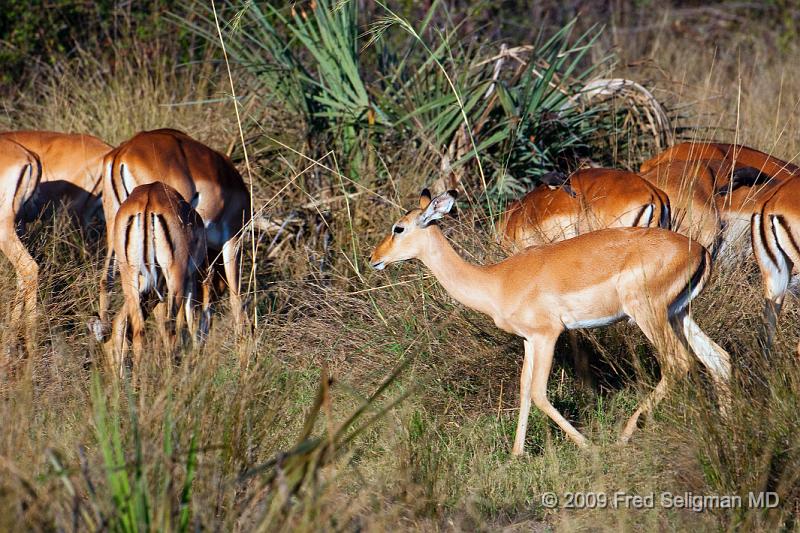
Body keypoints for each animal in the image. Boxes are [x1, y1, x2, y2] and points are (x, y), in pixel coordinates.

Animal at [109, 181, 209, 376]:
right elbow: (190, 319)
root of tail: (149, 197)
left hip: (131, 277)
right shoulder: (188, 279)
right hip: (174, 277)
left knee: (134, 329)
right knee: (170, 328)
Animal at [370, 190, 732, 454]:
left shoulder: (548, 335)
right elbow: (524, 390)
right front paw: (516, 455)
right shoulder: (530, 340)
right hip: (677, 313)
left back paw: (624, 436)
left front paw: (588, 446)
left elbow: (540, 392)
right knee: (719, 359)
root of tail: (700, 251)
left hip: (647, 313)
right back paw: (726, 426)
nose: (375, 259)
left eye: (399, 228)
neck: (497, 281)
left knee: (678, 362)